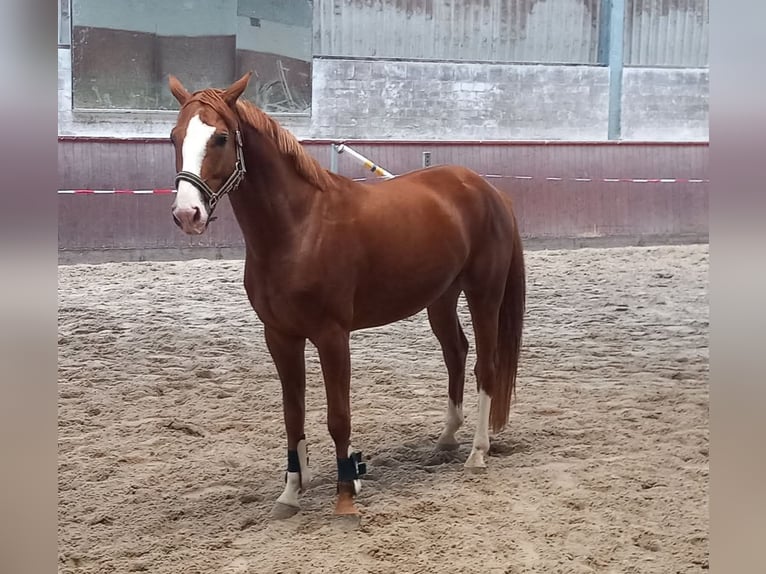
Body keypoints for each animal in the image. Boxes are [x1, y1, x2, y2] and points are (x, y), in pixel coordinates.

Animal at [166, 74, 528, 520]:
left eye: (220, 137)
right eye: (175, 136)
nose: (188, 215)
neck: (300, 228)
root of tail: (487, 189)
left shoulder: (332, 336)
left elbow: (338, 416)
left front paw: (345, 496)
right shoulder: (280, 337)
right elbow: (293, 415)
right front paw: (290, 494)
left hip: (484, 293)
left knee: (485, 365)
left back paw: (477, 453)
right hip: (441, 297)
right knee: (455, 353)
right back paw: (446, 440)